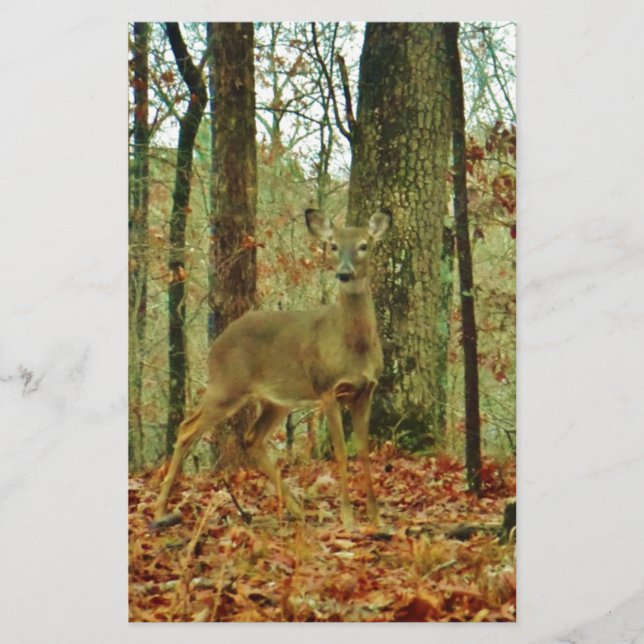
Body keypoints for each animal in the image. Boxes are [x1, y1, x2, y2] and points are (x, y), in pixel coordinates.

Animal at [153, 209, 392, 530]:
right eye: (333, 245)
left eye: (364, 245)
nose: (344, 273)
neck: (353, 346)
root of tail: (217, 343)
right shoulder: (327, 388)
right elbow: (341, 452)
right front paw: (348, 518)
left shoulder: (366, 389)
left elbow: (364, 451)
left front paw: (376, 516)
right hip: (227, 385)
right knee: (187, 427)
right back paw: (160, 509)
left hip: (276, 401)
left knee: (251, 438)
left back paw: (297, 508)